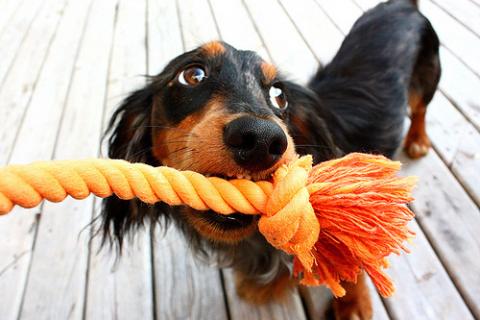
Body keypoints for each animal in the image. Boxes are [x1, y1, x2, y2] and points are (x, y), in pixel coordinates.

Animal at [100, 1, 438, 318]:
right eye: (192, 75)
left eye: (279, 94)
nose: (261, 140)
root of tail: (403, 5)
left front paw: (353, 305)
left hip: (428, 79)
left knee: (421, 108)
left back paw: (418, 140)